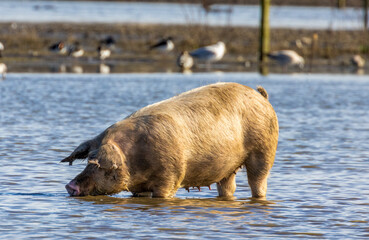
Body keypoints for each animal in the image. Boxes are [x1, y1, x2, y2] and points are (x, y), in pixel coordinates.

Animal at [61, 82, 278, 199]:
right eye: (88, 160)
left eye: (98, 165)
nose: (70, 185)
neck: (135, 159)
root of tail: (262, 97)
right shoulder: (139, 188)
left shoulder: (171, 175)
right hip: (227, 167)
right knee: (228, 186)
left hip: (264, 150)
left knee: (258, 180)